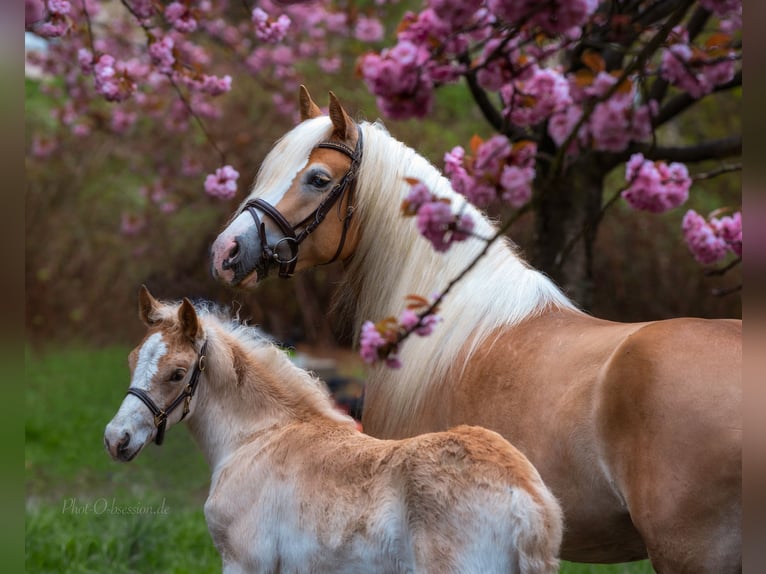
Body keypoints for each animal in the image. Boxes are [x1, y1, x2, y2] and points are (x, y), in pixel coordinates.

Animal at [103, 290, 564, 572]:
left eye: (178, 373)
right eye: (130, 360)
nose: (115, 439)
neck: (257, 437)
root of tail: (524, 496)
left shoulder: (244, 561)